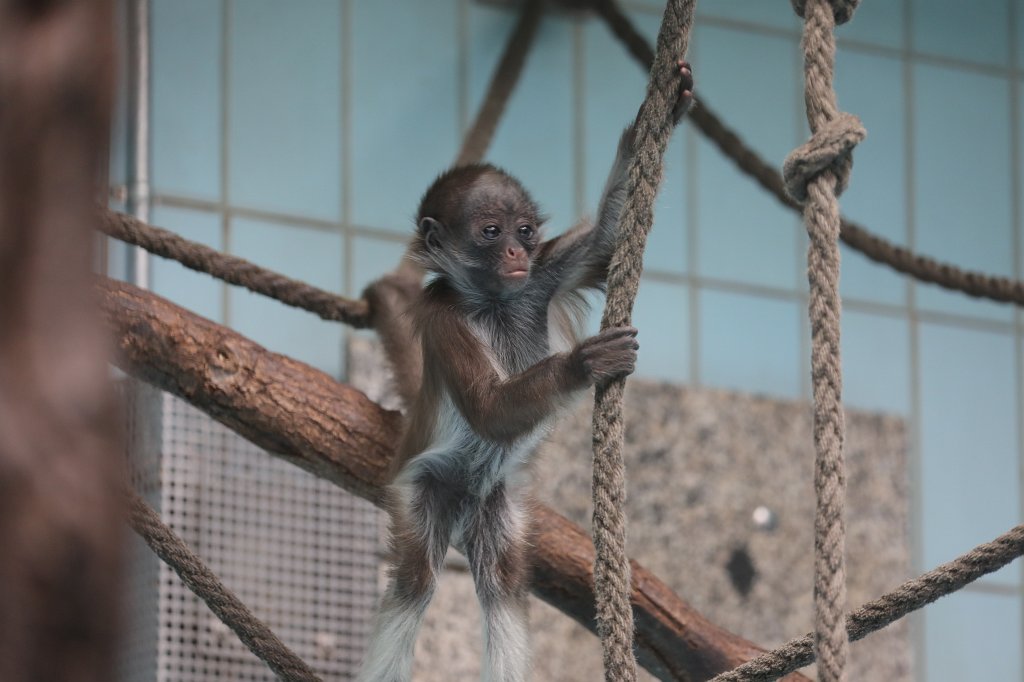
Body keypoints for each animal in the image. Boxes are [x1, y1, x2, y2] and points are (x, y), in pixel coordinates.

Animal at [357, 60, 694, 682]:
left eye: (526, 232)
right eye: (492, 232)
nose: (516, 253)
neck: (494, 301)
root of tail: (466, 496)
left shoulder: (541, 279)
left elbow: (605, 244)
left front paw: (655, 115)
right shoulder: (442, 317)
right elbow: (489, 409)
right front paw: (585, 362)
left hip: (495, 500)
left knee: (504, 584)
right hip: (426, 484)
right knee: (416, 579)